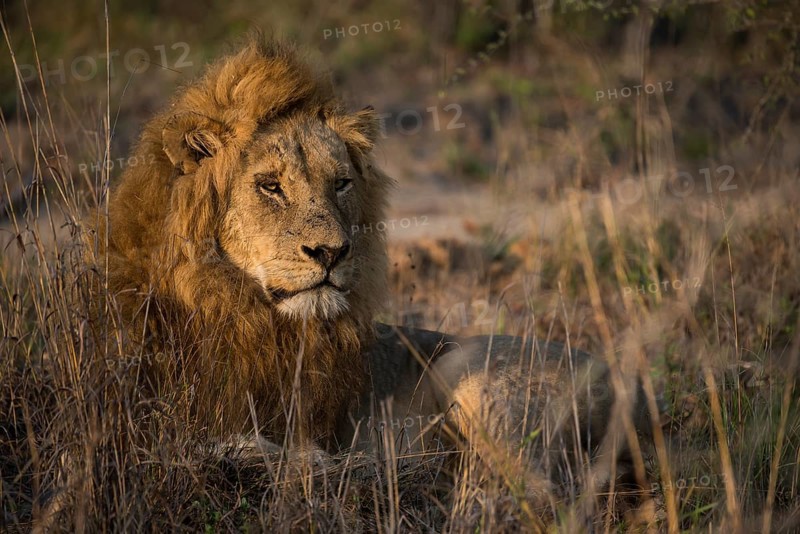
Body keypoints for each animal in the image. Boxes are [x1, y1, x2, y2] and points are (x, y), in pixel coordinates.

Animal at [91, 34, 652, 507]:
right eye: (270, 186)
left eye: (340, 183)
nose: (331, 252)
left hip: (469, 374)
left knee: (536, 492)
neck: (229, 301)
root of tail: (638, 394)